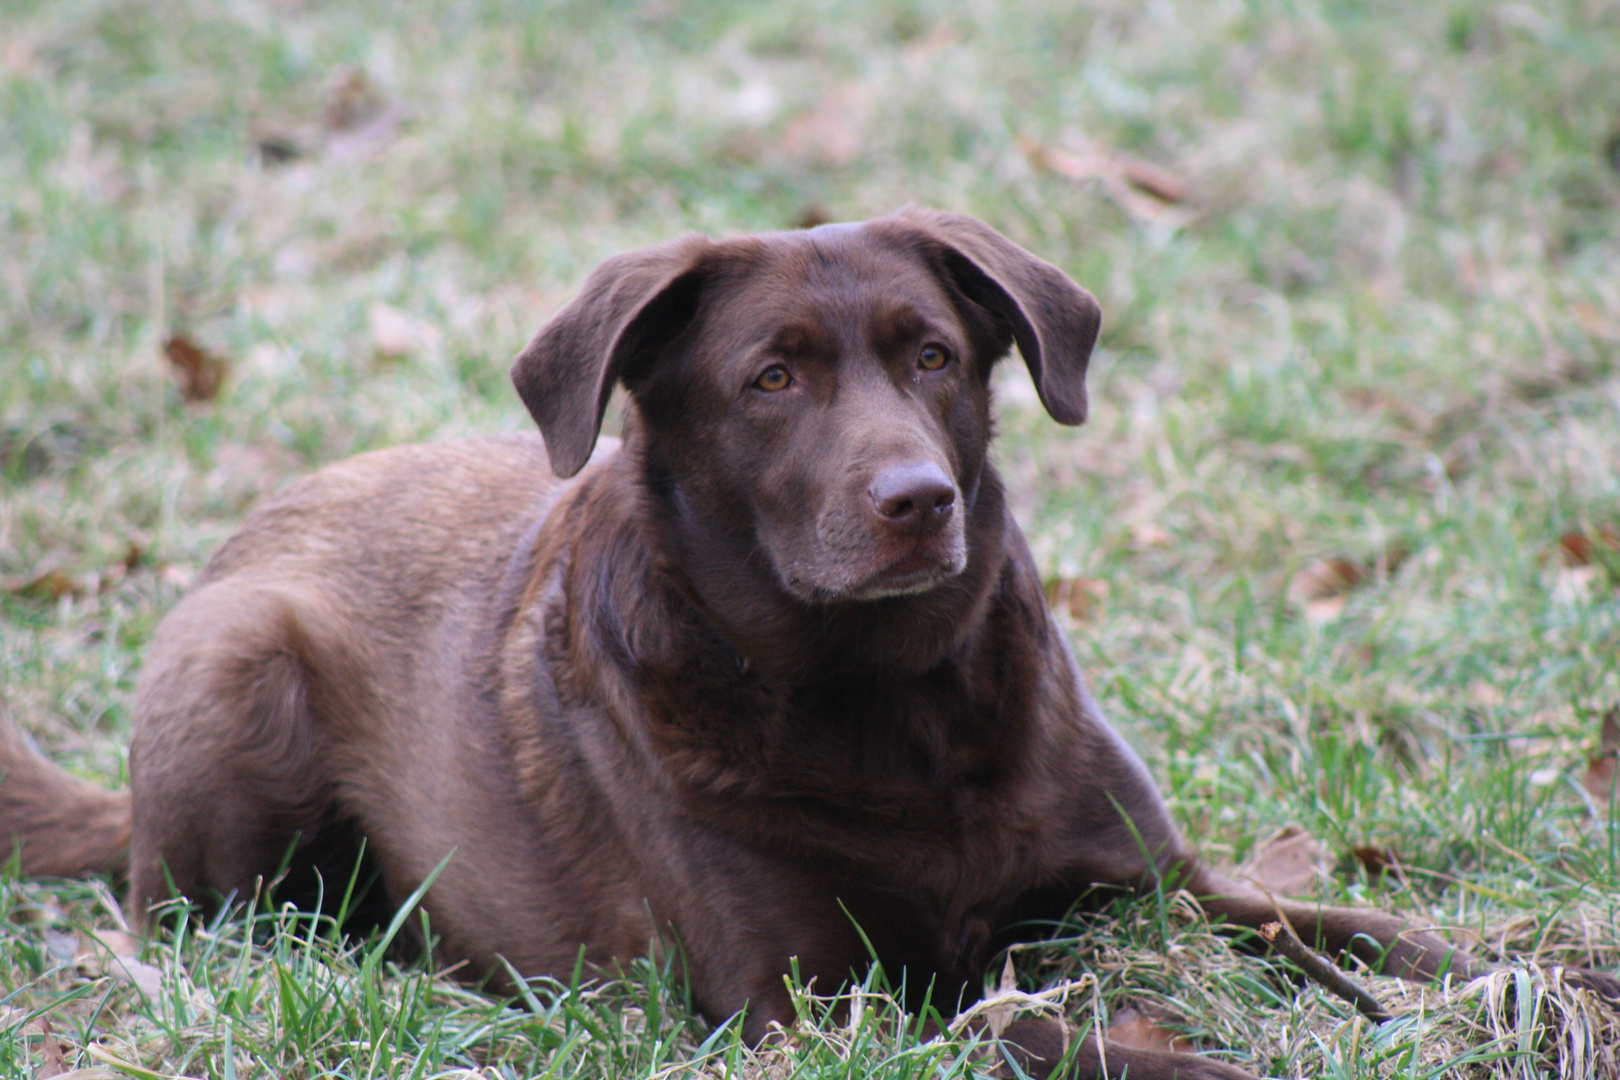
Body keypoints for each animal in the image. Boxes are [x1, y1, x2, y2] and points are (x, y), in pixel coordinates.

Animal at [0, 207, 1568, 1075]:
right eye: (771, 380)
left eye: (933, 355)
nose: (919, 501)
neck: (896, 704)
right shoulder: (817, 1004)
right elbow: (1057, 1038)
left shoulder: (1165, 887)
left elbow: (1377, 934)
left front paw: (1540, 988)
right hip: (236, 674)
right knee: (187, 921)